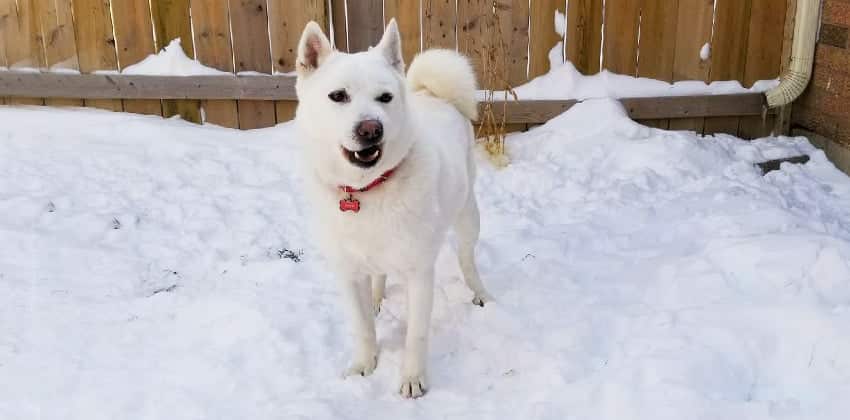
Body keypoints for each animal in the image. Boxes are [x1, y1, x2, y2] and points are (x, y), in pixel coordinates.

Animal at [294, 18, 490, 398]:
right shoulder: (348, 272)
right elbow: (361, 327)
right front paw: (364, 364)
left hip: (467, 216)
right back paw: (376, 298)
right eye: (338, 96)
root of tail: (434, 94)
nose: (371, 129)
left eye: (385, 98)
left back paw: (481, 294)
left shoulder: (419, 273)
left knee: (467, 260)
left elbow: (416, 334)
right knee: (380, 276)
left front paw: (412, 378)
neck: (366, 191)